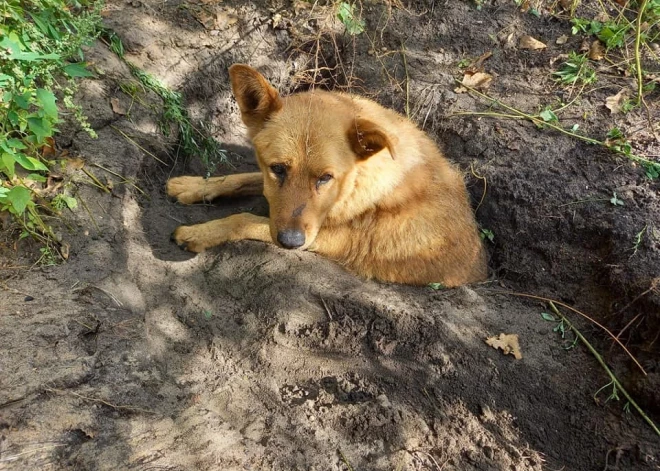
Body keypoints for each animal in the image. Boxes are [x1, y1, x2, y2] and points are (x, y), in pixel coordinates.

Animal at [165, 64, 484, 286]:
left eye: (326, 178)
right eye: (277, 169)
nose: (290, 241)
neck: (355, 182)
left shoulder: (324, 237)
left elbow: (243, 219)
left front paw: (200, 232)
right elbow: (242, 178)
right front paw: (193, 186)